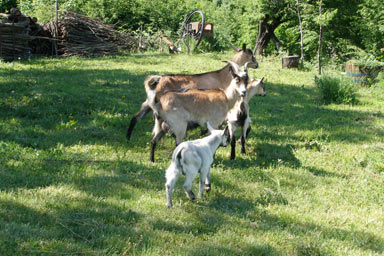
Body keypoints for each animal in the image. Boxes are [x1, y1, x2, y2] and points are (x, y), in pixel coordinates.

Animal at [126, 44, 258, 141]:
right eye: (251, 55)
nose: (257, 64)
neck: (222, 75)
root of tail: (159, 80)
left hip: (150, 100)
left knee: (137, 116)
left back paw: (128, 137)